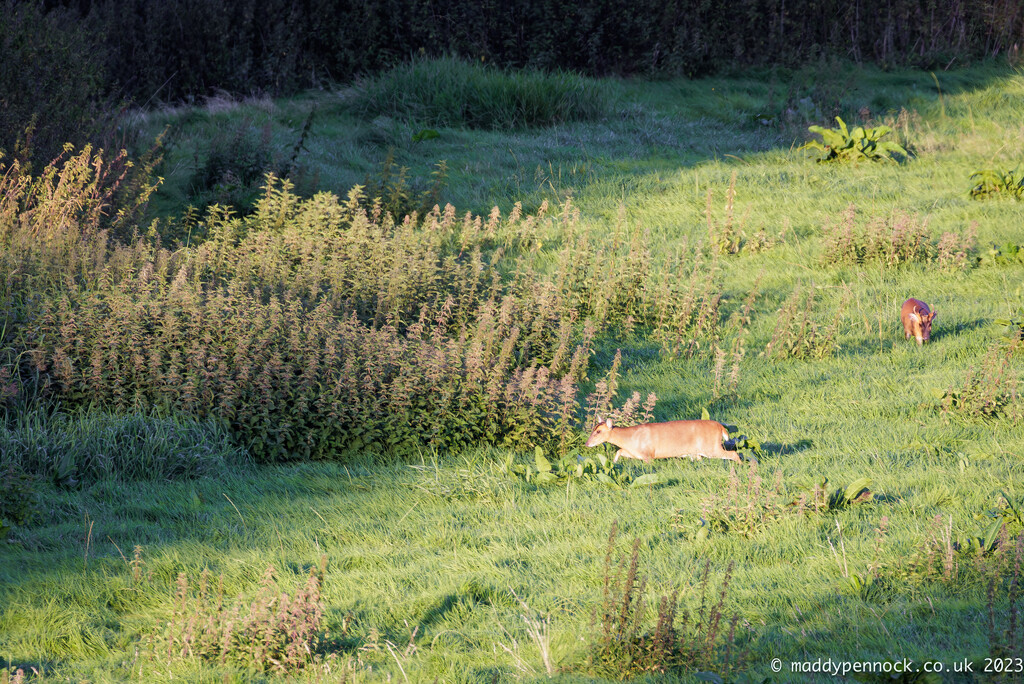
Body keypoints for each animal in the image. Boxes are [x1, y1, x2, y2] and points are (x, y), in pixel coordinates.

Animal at [585, 413, 737, 462]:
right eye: (593, 429)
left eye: (598, 431)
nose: (587, 444)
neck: (630, 438)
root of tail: (721, 427)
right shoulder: (636, 453)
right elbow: (619, 451)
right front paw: (614, 463)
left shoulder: (648, 454)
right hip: (699, 451)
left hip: (710, 447)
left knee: (734, 454)